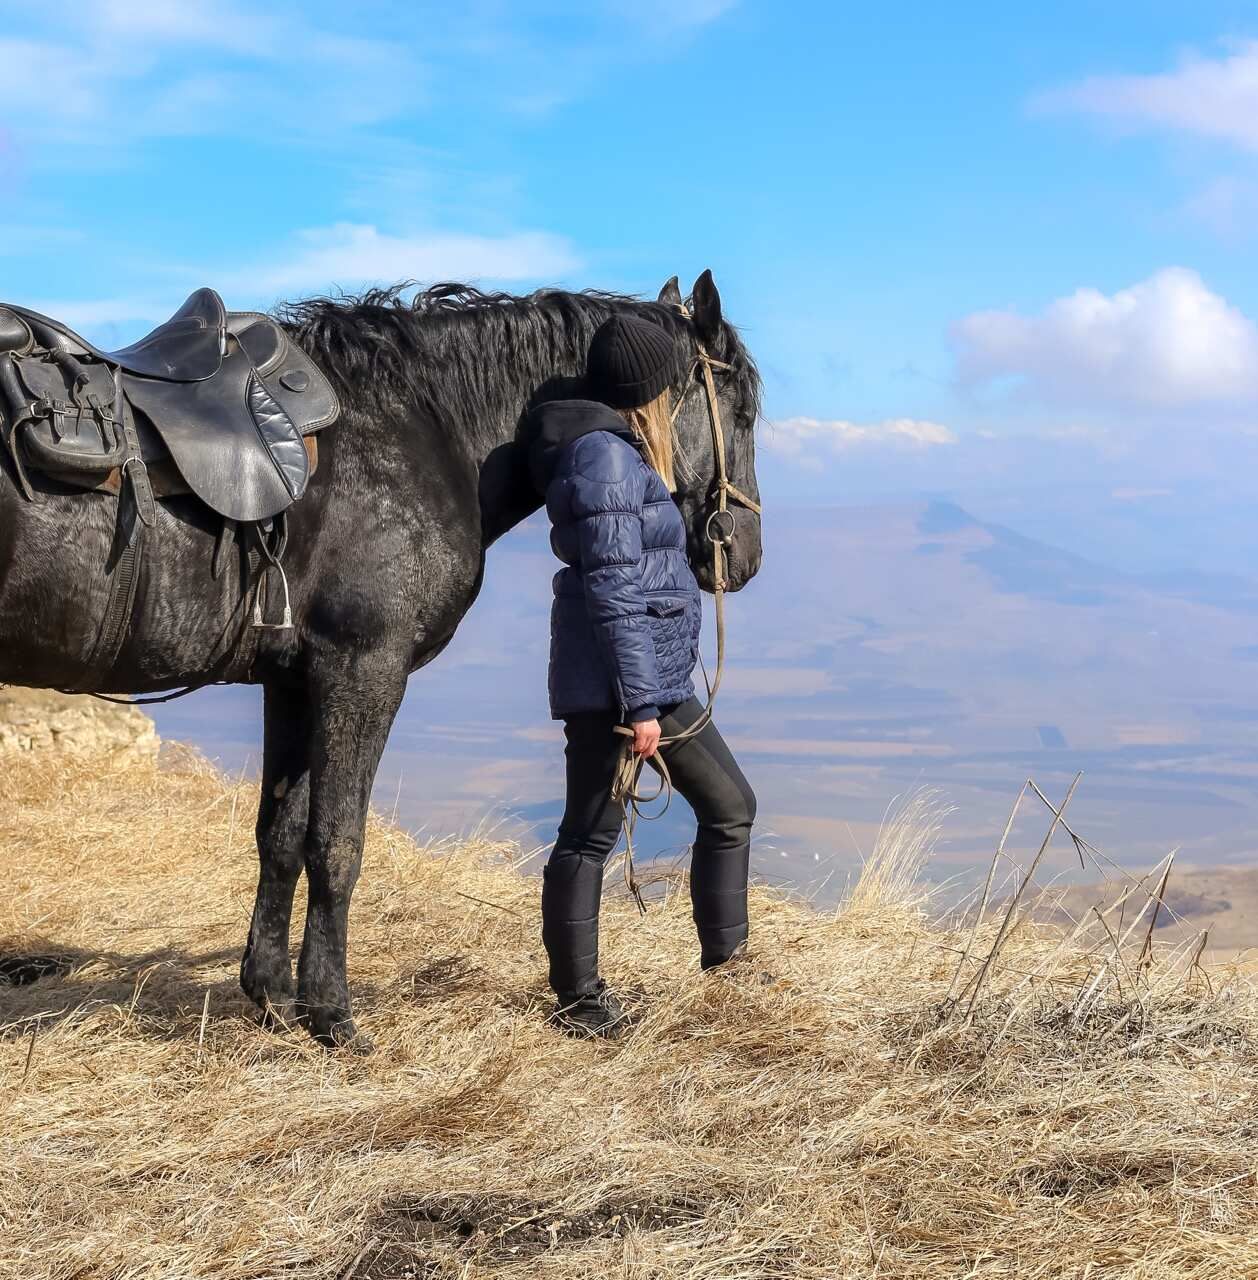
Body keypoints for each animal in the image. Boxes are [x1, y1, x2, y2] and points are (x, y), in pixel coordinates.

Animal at [0, 270, 762, 1049]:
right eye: (744, 410)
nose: (744, 555)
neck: (422, 427)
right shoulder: (361, 670)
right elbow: (337, 842)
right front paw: (331, 1013)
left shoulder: (294, 681)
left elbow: (280, 834)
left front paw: (272, 997)